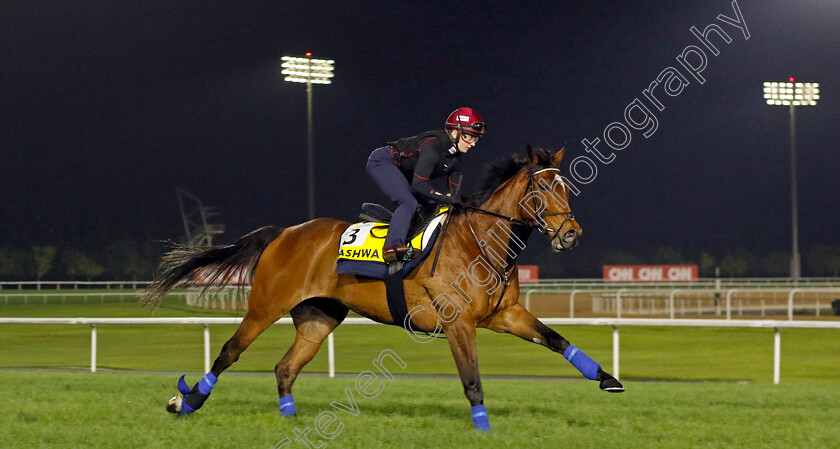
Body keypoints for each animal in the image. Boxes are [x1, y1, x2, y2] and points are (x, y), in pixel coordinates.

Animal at [143, 145, 624, 428]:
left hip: (318, 318)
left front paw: (608, 379)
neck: (480, 242)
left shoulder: (505, 315)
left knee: (285, 367)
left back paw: (290, 417)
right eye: (542, 188)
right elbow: (471, 377)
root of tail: (284, 232)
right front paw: (483, 426)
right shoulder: (459, 322)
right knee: (229, 351)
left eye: (566, 186)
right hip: (265, 304)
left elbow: (557, 339)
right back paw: (186, 403)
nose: (571, 235)